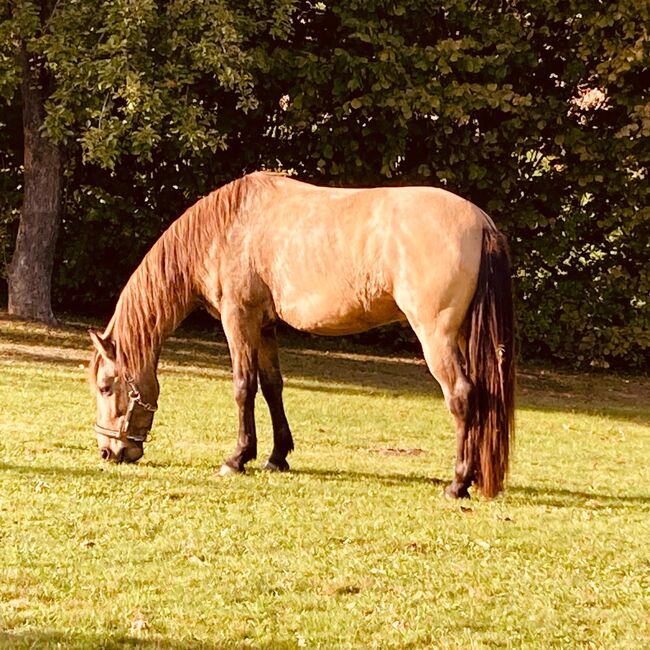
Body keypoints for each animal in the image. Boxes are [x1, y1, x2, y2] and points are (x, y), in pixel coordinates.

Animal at [88, 171, 512, 496]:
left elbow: (243, 387)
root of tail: (480, 222)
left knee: (461, 396)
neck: (227, 228)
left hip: (436, 335)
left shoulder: (238, 318)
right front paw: (276, 457)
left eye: (106, 386)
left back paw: (458, 483)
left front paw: (237, 458)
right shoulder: (264, 326)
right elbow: (272, 387)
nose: (108, 452)